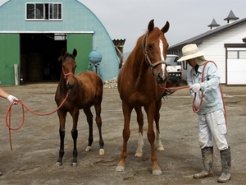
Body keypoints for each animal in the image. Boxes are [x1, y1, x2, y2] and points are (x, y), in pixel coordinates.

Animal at [116, 19, 170, 175]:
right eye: (150, 46)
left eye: (167, 46)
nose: (162, 77)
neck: (136, 77)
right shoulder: (127, 104)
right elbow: (126, 132)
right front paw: (121, 162)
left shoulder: (150, 104)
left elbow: (151, 134)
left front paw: (155, 165)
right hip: (137, 105)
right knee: (140, 121)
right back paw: (139, 150)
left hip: (157, 104)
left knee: (157, 120)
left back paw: (160, 145)